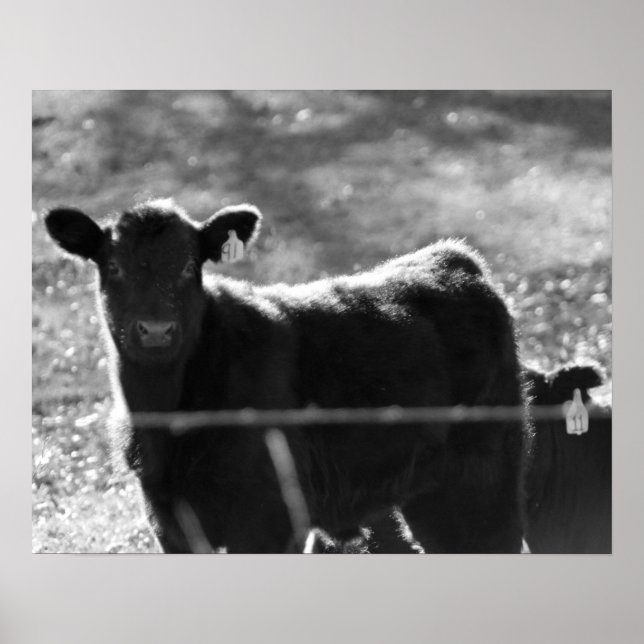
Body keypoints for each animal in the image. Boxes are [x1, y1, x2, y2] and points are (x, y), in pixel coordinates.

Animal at [44, 198, 528, 553]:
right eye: (114, 267)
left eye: (188, 266)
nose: (157, 329)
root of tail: (451, 258)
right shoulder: (170, 524)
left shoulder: (268, 521)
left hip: (482, 484)